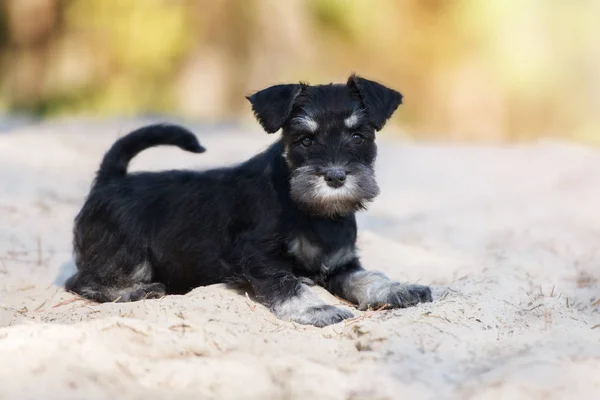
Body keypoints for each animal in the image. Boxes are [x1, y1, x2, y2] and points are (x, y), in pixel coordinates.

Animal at [65, 75, 432, 328]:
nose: (336, 177)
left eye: (358, 136)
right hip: (127, 255)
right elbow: (287, 284)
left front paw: (400, 289)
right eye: (305, 140)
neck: (313, 213)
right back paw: (135, 291)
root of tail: (110, 179)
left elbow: (369, 278)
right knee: (81, 281)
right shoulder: (257, 256)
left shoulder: (341, 264)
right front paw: (317, 308)